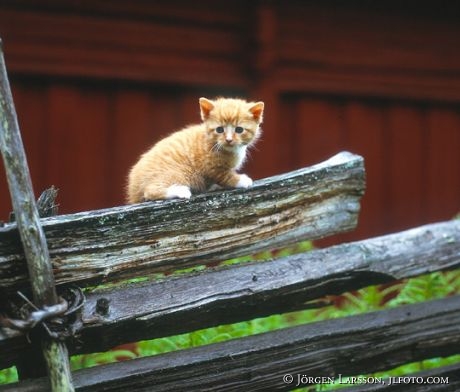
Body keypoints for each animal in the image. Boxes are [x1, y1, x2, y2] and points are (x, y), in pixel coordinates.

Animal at [126, 97, 264, 204]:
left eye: (239, 130)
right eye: (219, 130)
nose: (229, 140)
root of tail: (133, 189)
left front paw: (213, 186)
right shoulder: (211, 167)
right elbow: (225, 176)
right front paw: (242, 180)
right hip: (179, 173)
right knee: (149, 191)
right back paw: (180, 191)